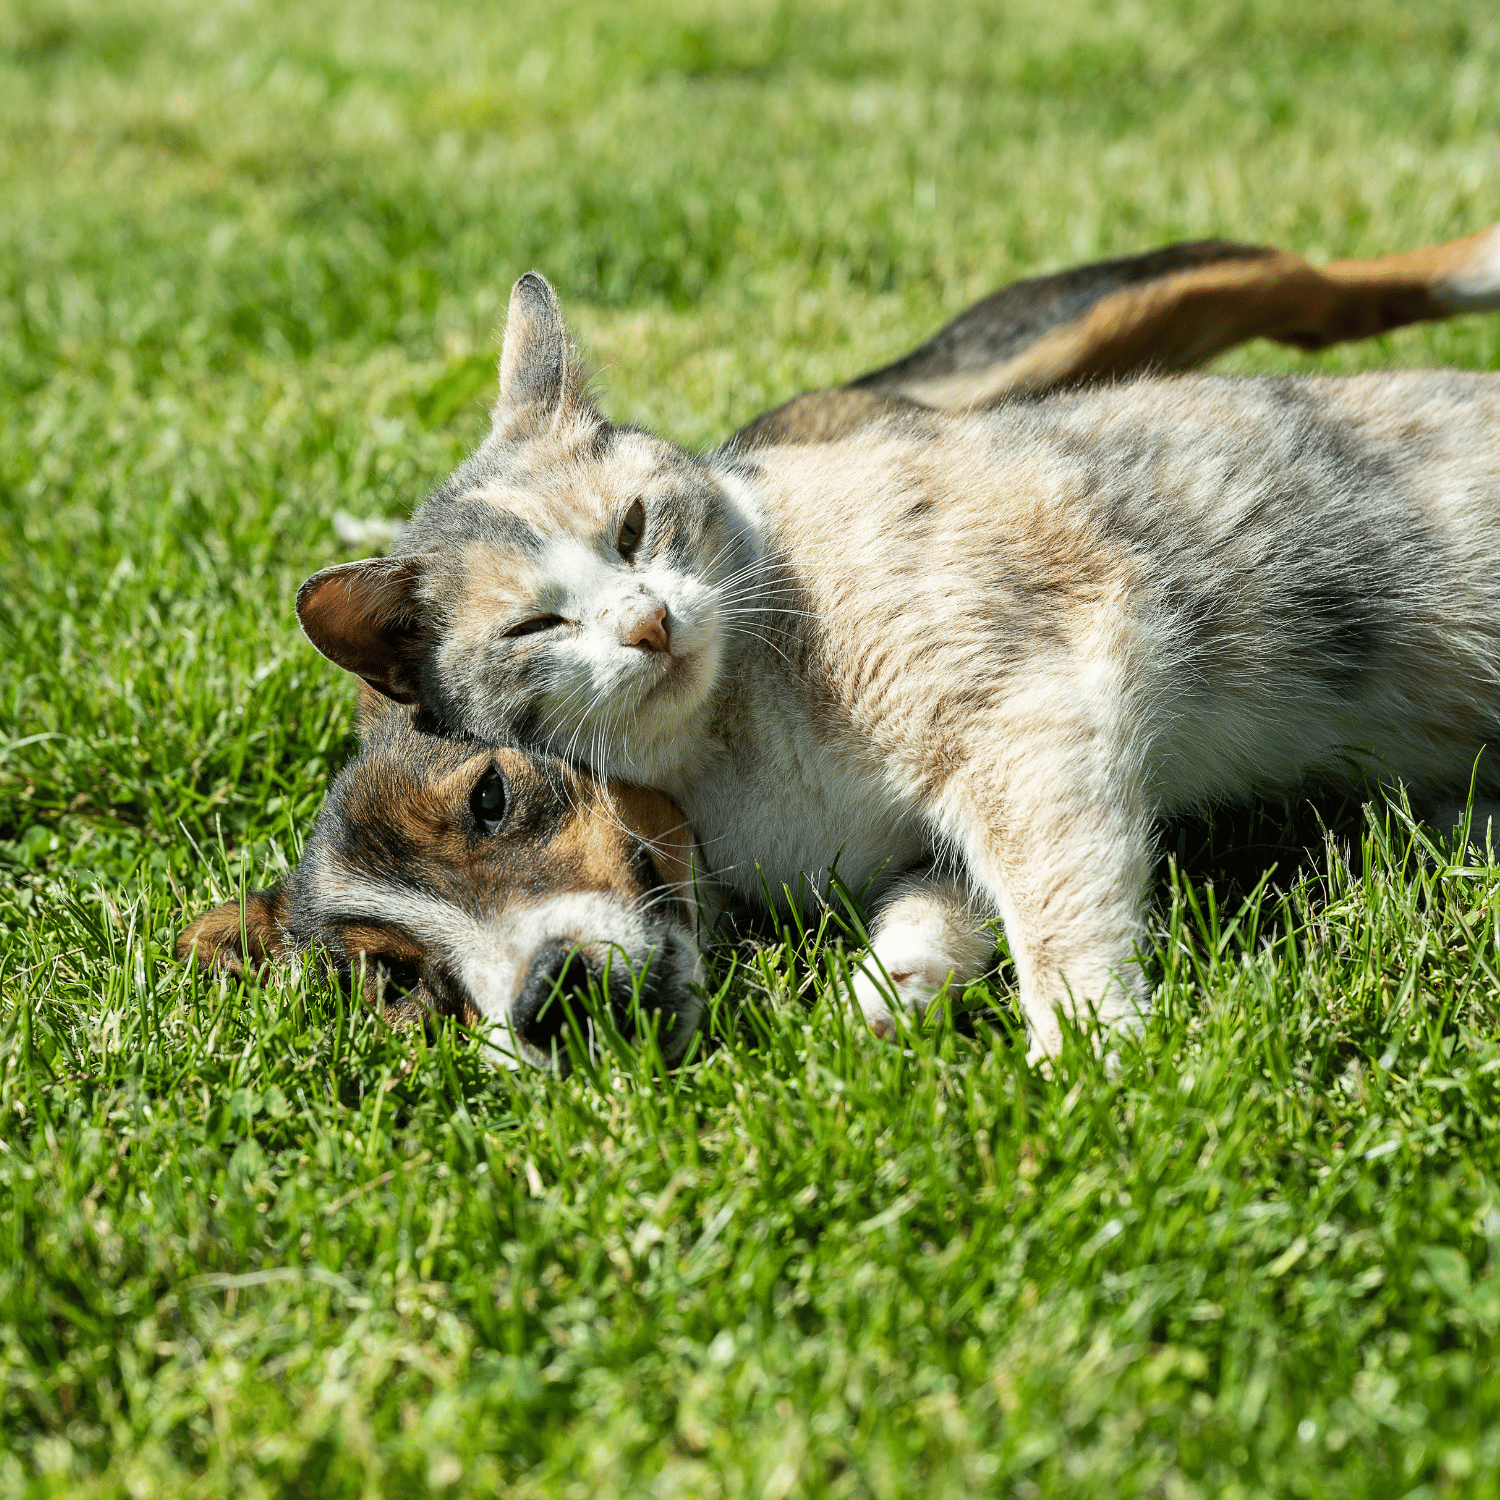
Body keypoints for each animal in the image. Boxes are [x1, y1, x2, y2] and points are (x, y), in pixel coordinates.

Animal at [181, 226, 1500, 1066]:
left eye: (493, 800)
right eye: (398, 987)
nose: (549, 1000)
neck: (729, 766)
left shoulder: (1027, 700)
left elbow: (1057, 895)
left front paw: (1093, 1055)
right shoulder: (953, 808)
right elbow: (950, 894)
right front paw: (890, 990)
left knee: (1328, 289)